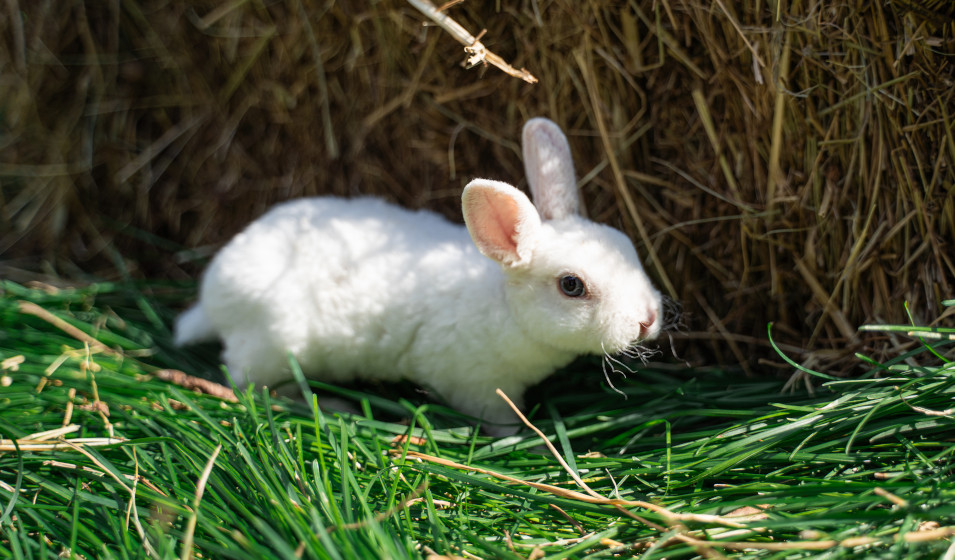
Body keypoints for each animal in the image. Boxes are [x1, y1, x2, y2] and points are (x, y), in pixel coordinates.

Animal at [175, 117, 663, 434]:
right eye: (571, 286)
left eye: (626, 244)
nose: (647, 320)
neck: (502, 306)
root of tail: (214, 296)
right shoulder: (480, 390)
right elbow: (502, 424)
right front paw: (527, 440)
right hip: (274, 348)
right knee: (249, 385)